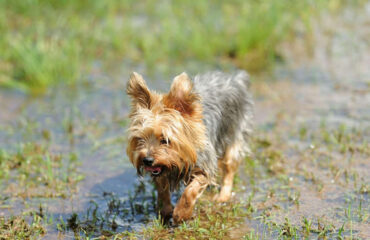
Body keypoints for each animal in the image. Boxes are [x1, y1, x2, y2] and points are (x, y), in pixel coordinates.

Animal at [125, 71, 253, 223]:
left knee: (229, 168)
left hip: (234, 133)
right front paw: (165, 211)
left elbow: (190, 191)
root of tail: (235, 79)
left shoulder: (205, 165)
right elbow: (162, 190)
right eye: (140, 139)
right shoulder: (161, 170)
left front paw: (181, 213)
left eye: (165, 140)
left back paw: (223, 196)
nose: (147, 160)